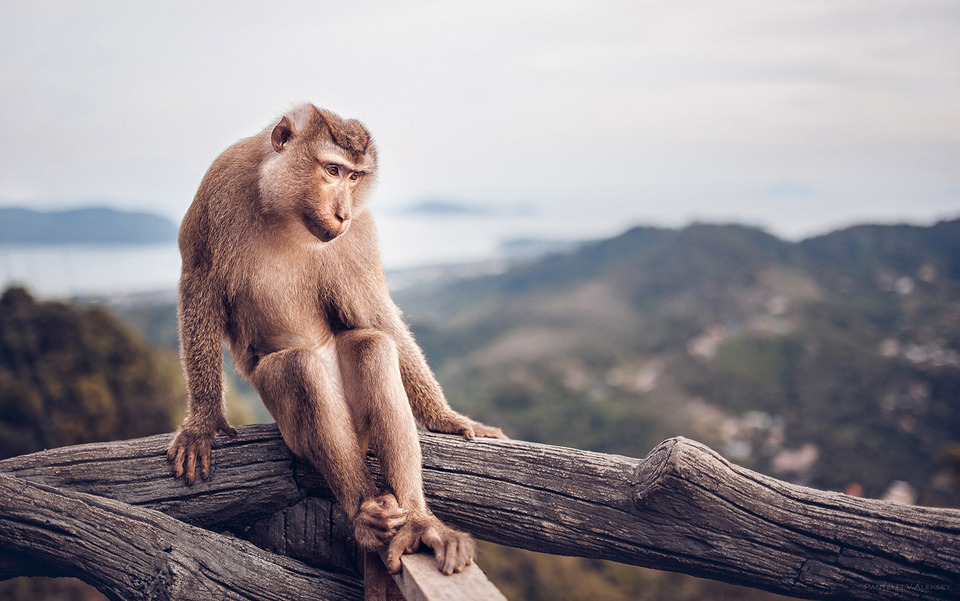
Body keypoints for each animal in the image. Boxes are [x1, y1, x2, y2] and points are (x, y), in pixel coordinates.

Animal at [168, 105, 506, 576]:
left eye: (355, 177)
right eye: (332, 170)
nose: (343, 212)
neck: (285, 210)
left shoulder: (360, 233)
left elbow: (376, 314)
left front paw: (447, 418)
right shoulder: (218, 187)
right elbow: (199, 286)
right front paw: (201, 426)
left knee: (372, 347)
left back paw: (417, 522)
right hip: (290, 424)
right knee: (299, 368)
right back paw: (366, 515)